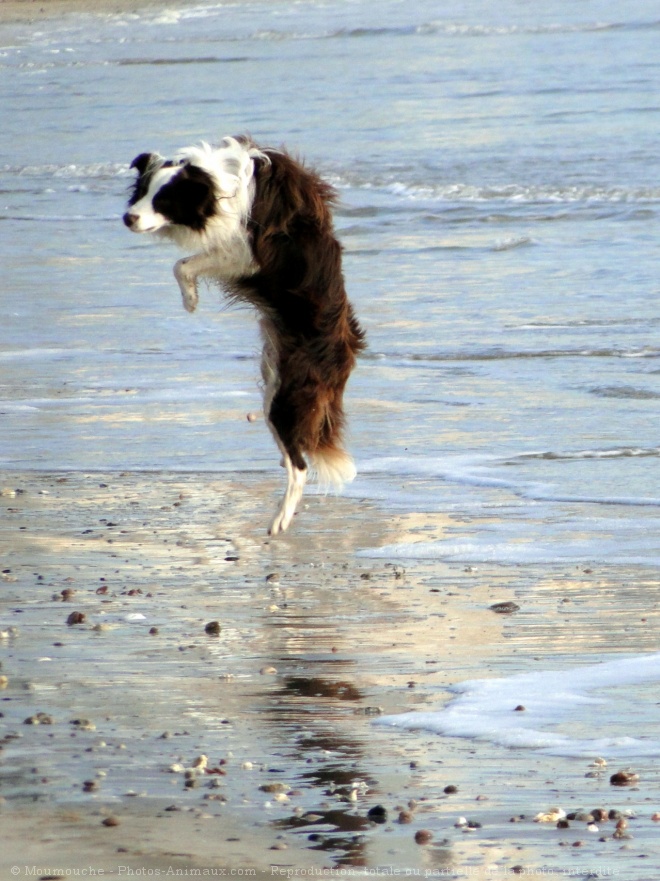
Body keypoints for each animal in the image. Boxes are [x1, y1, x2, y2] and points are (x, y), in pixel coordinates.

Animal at [124, 137, 366, 532]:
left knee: (300, 467)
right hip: (275, 389)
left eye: (164, 201)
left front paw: (189, 299)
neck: (217, 178)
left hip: (287, 395)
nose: (128, 217)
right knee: (293, 449)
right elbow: (184, 263)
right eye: (142, 191)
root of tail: (344, 355)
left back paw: (280, 519)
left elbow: (182, 264)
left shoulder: (247, 253)